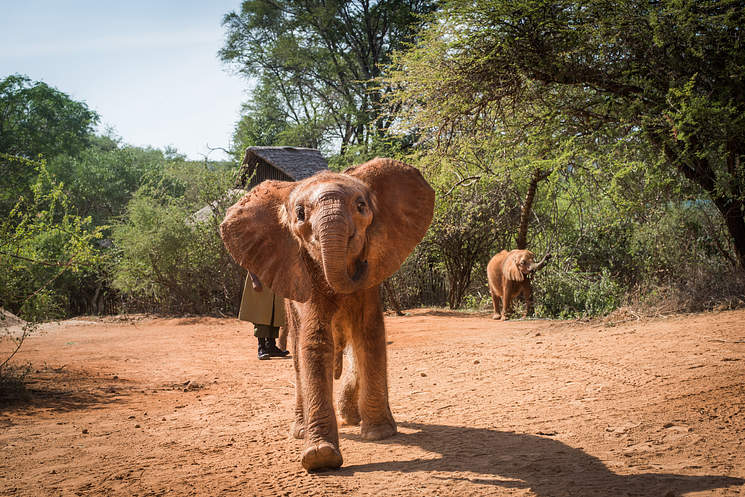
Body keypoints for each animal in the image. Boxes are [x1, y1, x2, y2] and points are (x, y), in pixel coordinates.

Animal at [218, 157, 434, 470]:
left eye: (361, 206)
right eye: (299, 214)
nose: (362, 261)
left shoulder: (369, 286)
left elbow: (369, 336)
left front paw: (380, 434)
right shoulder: (304, 275)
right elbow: (315, 343)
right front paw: (320, 457)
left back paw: (351, 418)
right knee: (298, 355)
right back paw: (301, 430)